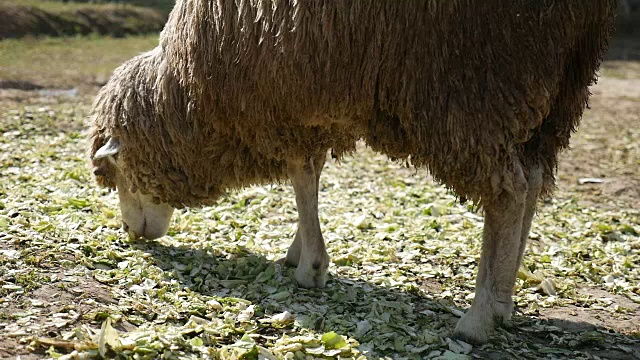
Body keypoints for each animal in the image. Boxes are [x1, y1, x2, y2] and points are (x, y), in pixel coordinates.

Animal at [87, 0, 616, 344]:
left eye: (119, 169)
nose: (132, 234)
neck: (190, 94)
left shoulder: (282, 105)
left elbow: (302, 177)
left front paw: (311, 268)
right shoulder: (308, 107)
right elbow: (312, 178)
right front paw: (298, 251)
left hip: (471, 85)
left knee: (509, 190)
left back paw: (479, 319)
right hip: (557, 92)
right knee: (534, 180)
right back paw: (503, 302)